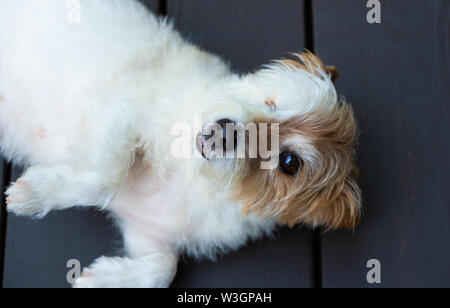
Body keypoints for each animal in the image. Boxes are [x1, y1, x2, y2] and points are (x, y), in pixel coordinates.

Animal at [0, 0, 360, 288]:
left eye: (289, 162)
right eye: (271, 102)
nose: (225, 130)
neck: (192, 175)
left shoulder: (146, 234)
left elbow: (163, 268)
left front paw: (104, 279)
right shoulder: (122, 114)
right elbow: (105, 180)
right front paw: (34, 194)